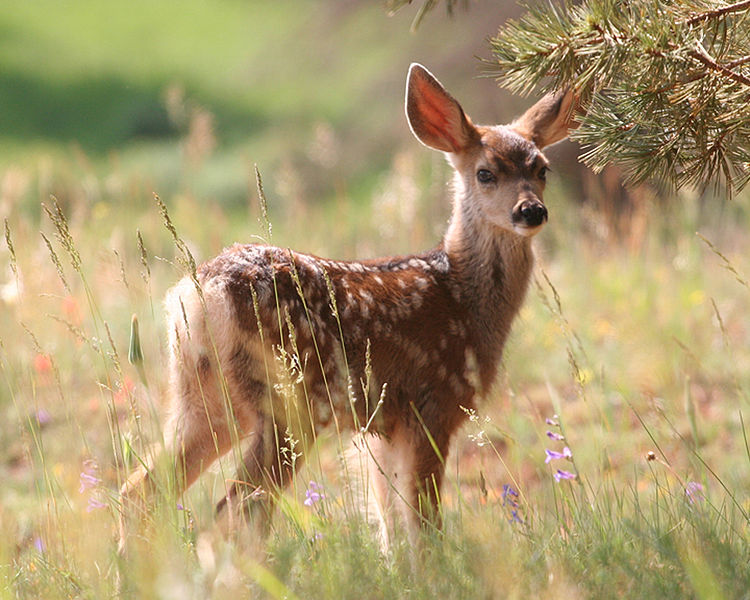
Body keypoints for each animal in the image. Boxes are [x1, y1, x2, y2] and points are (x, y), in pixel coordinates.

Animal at [119, 63, 577, 550]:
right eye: (486, 173)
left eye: (542, 169)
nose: (531, 211)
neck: (462, 297)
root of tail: (199, 293)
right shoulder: (431, 404)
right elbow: (423, 523)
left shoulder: (383, 426)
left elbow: (390, 523)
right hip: (287, 402)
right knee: (237, 510)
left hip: (203, 399)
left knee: (142, 491)